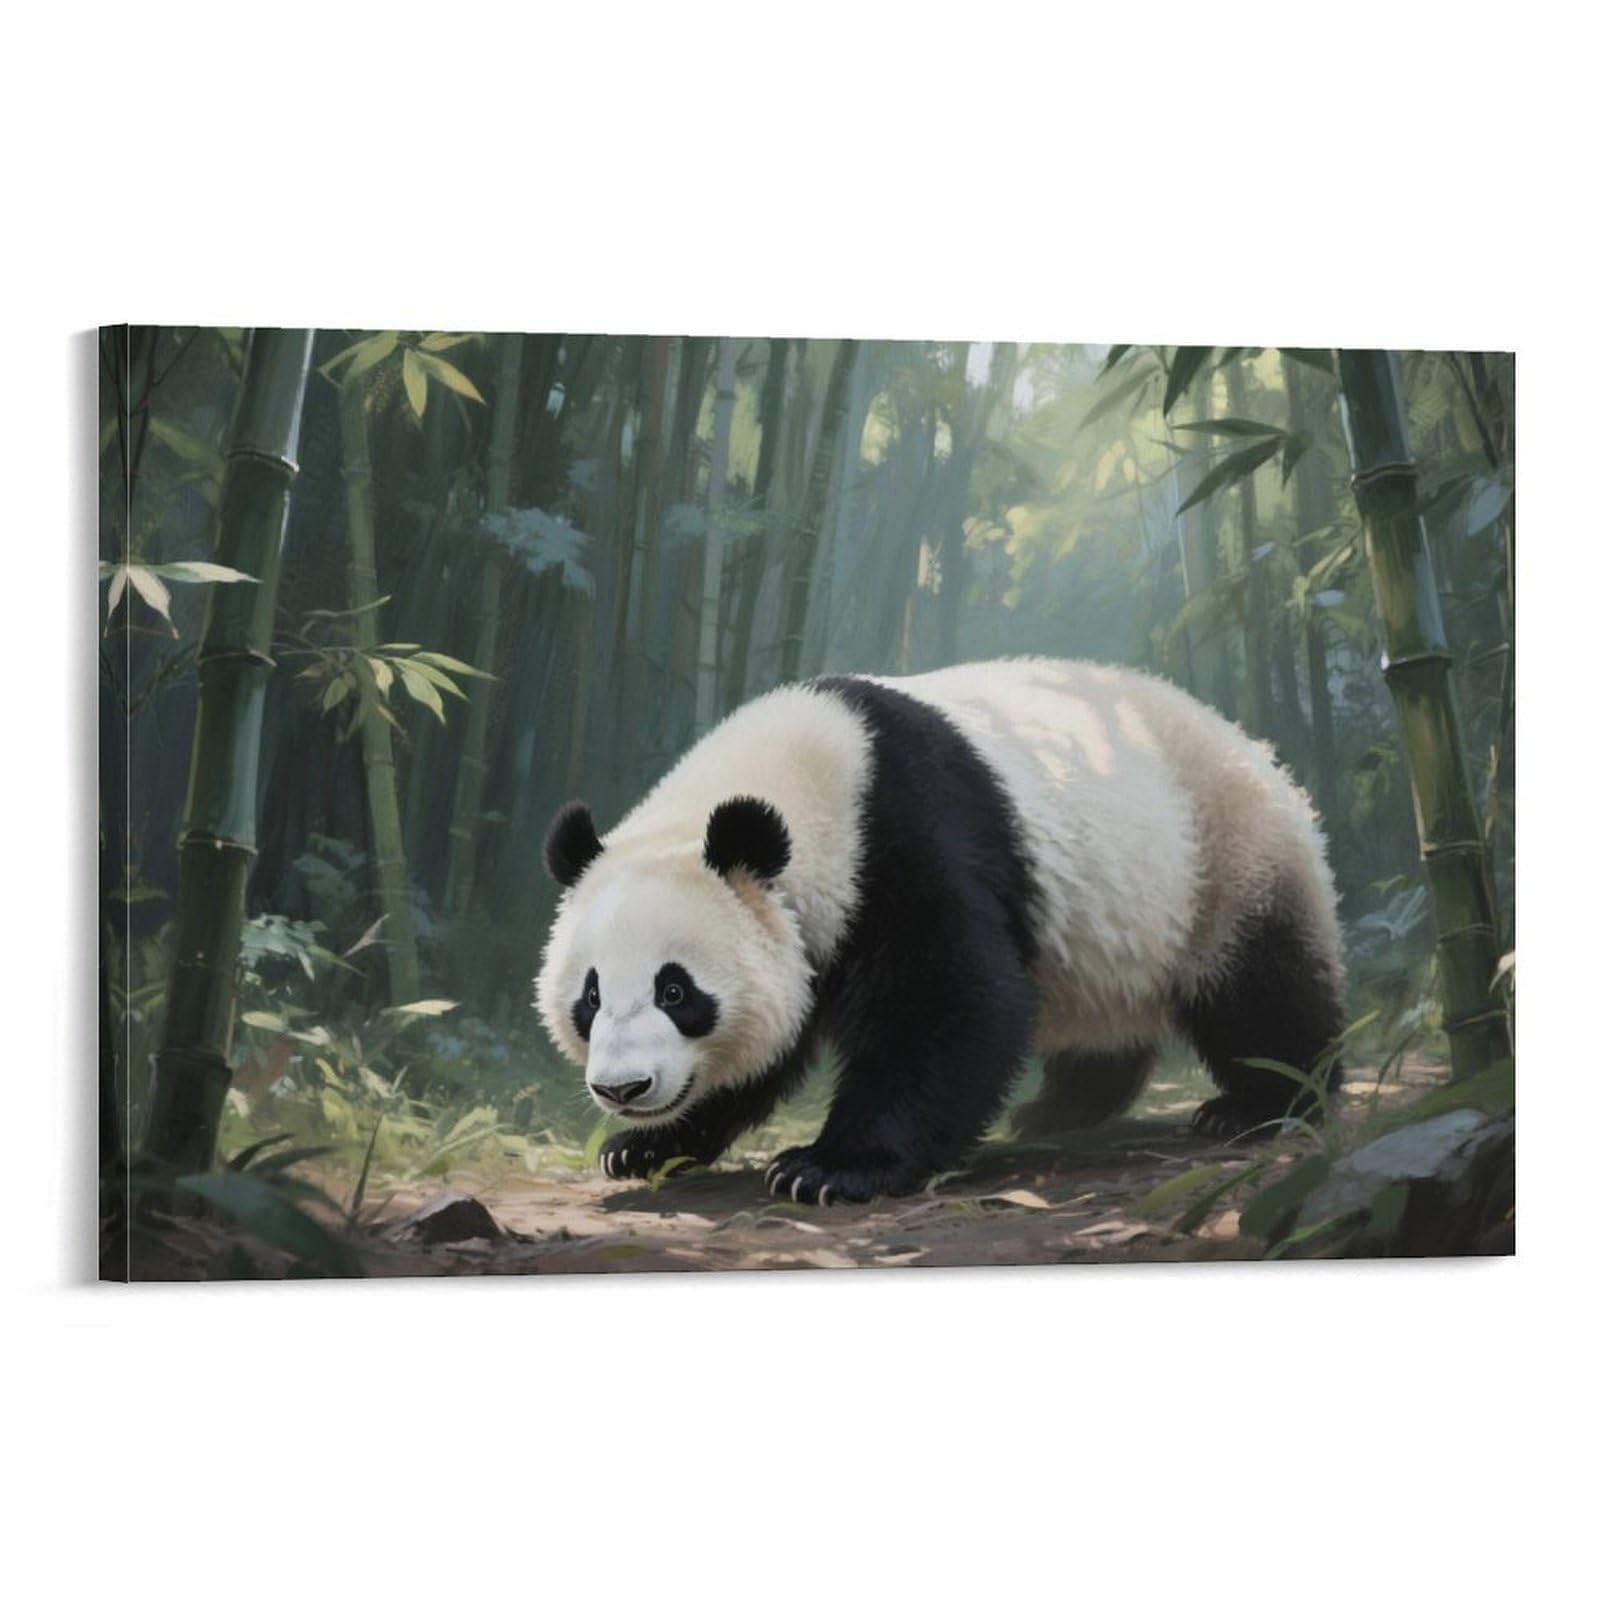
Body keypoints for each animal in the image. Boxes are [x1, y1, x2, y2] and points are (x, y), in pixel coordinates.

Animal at [535, 658, 1344, 1205]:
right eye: (591, 997)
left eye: (677, 991)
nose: (623, 1088)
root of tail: (1253, 744)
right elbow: (764, 1054)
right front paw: (642, 1148)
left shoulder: (908, 837)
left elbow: (950, 1002)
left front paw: (827, 1169)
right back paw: (1059, 1108)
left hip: (1224, 856)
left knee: (1263, 990)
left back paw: (1263, 1106)